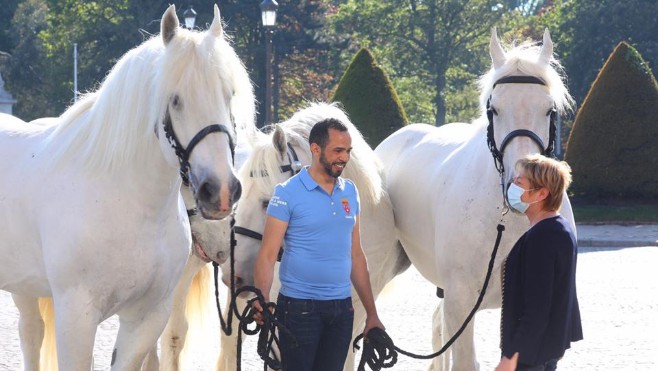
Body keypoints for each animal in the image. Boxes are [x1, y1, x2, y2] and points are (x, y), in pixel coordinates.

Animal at [0, 4, 254, 370]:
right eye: (175, 100)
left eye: (228, 94)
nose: (219, 191)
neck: (128, 205)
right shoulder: (76, 317)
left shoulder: (147, 318)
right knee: (31, 334)